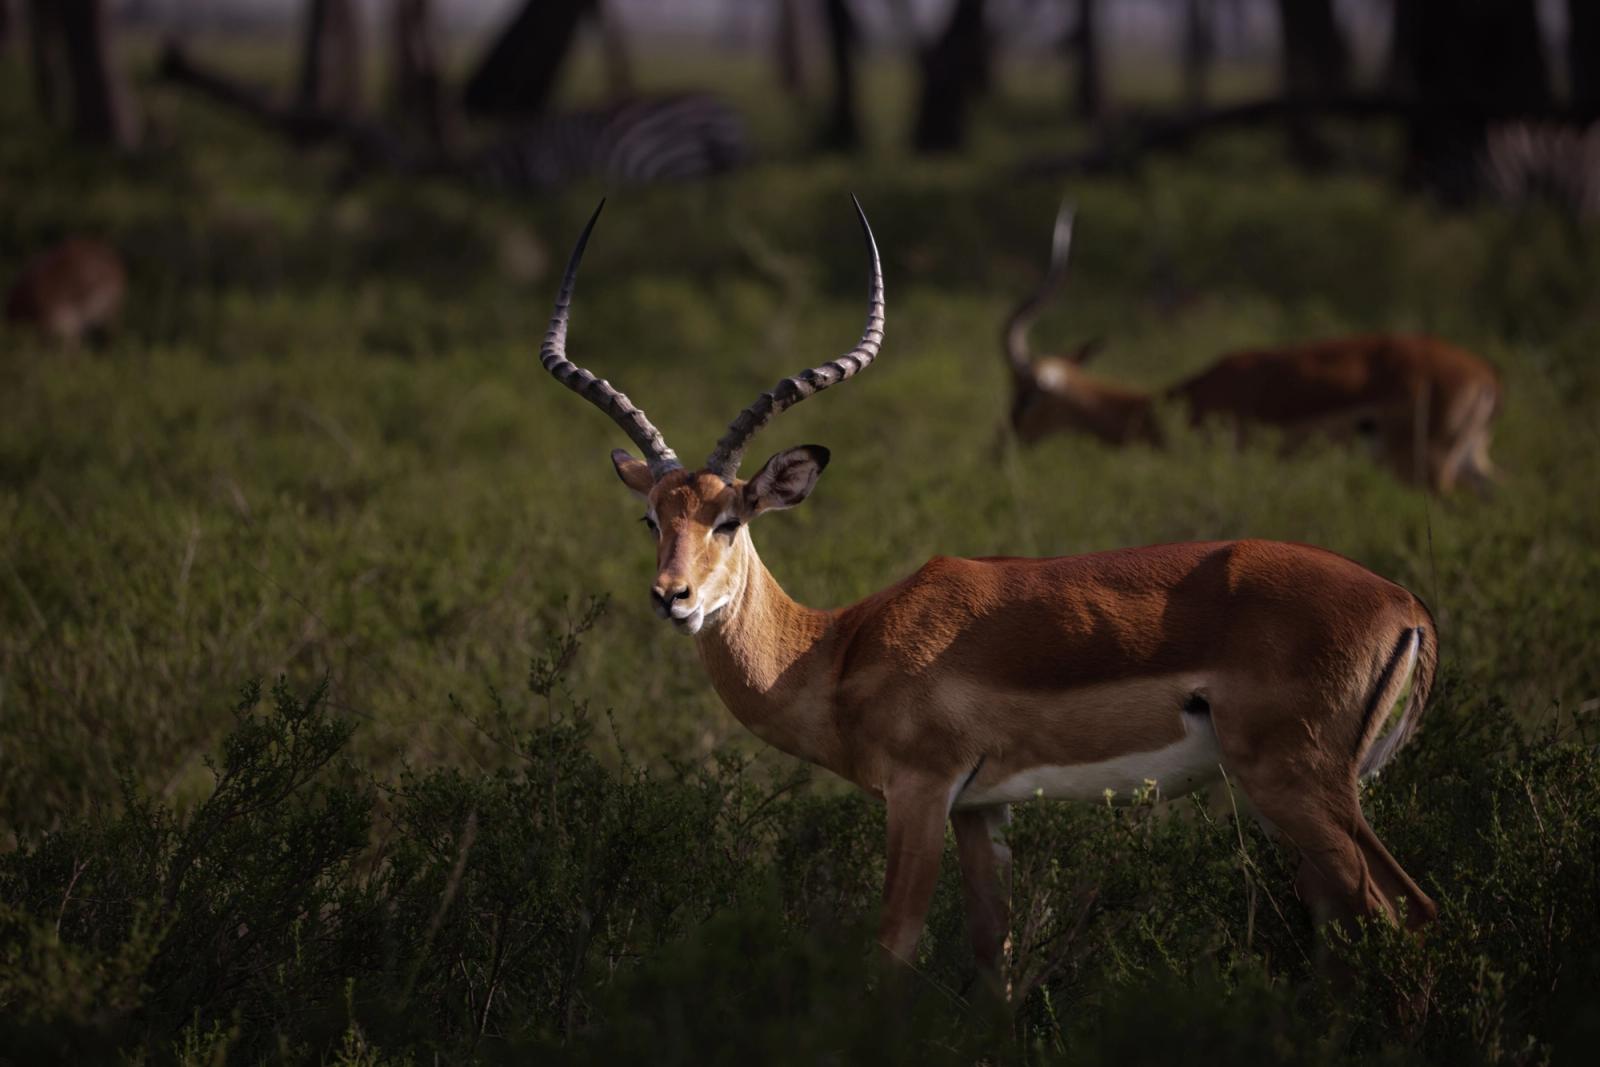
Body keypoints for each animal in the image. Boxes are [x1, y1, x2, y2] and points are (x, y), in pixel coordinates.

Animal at [535, 199, 1439, 980]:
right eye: (652, 517)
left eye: (729, 518)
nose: (674, 597)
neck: (836, 648)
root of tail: (1407, 607)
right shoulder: (981, 808)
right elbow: (992, 952)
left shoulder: (920, 792)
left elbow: (895, 948)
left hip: (1296, 780)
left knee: (1406, 915)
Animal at [1003, 204, 1502, 495]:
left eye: (1027, 395)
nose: (1001, 446)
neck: (1176, 401)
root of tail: (1485, 374)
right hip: (1469, 461)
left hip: (1426, 468)